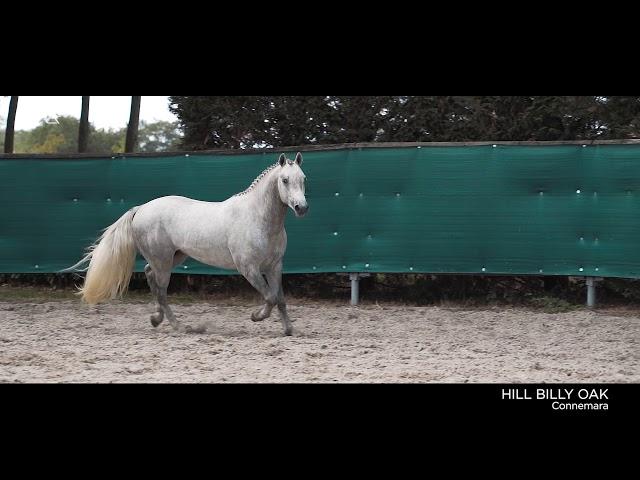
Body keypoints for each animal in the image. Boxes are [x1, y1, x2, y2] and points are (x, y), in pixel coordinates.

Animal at [70, 152, 308, 336]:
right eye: (284, 180)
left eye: (303, 179)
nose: (301, 208)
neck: (258, 218)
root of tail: (141, 209)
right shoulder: (248, 268)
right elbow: (270, 297)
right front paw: (256, 316)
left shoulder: (274, 266)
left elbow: (280, 298)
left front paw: (289, 330)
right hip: (163, 261)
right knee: (161, 289)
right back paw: (178, 326)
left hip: (173, 257)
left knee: (149, 275)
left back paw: (156, 319)